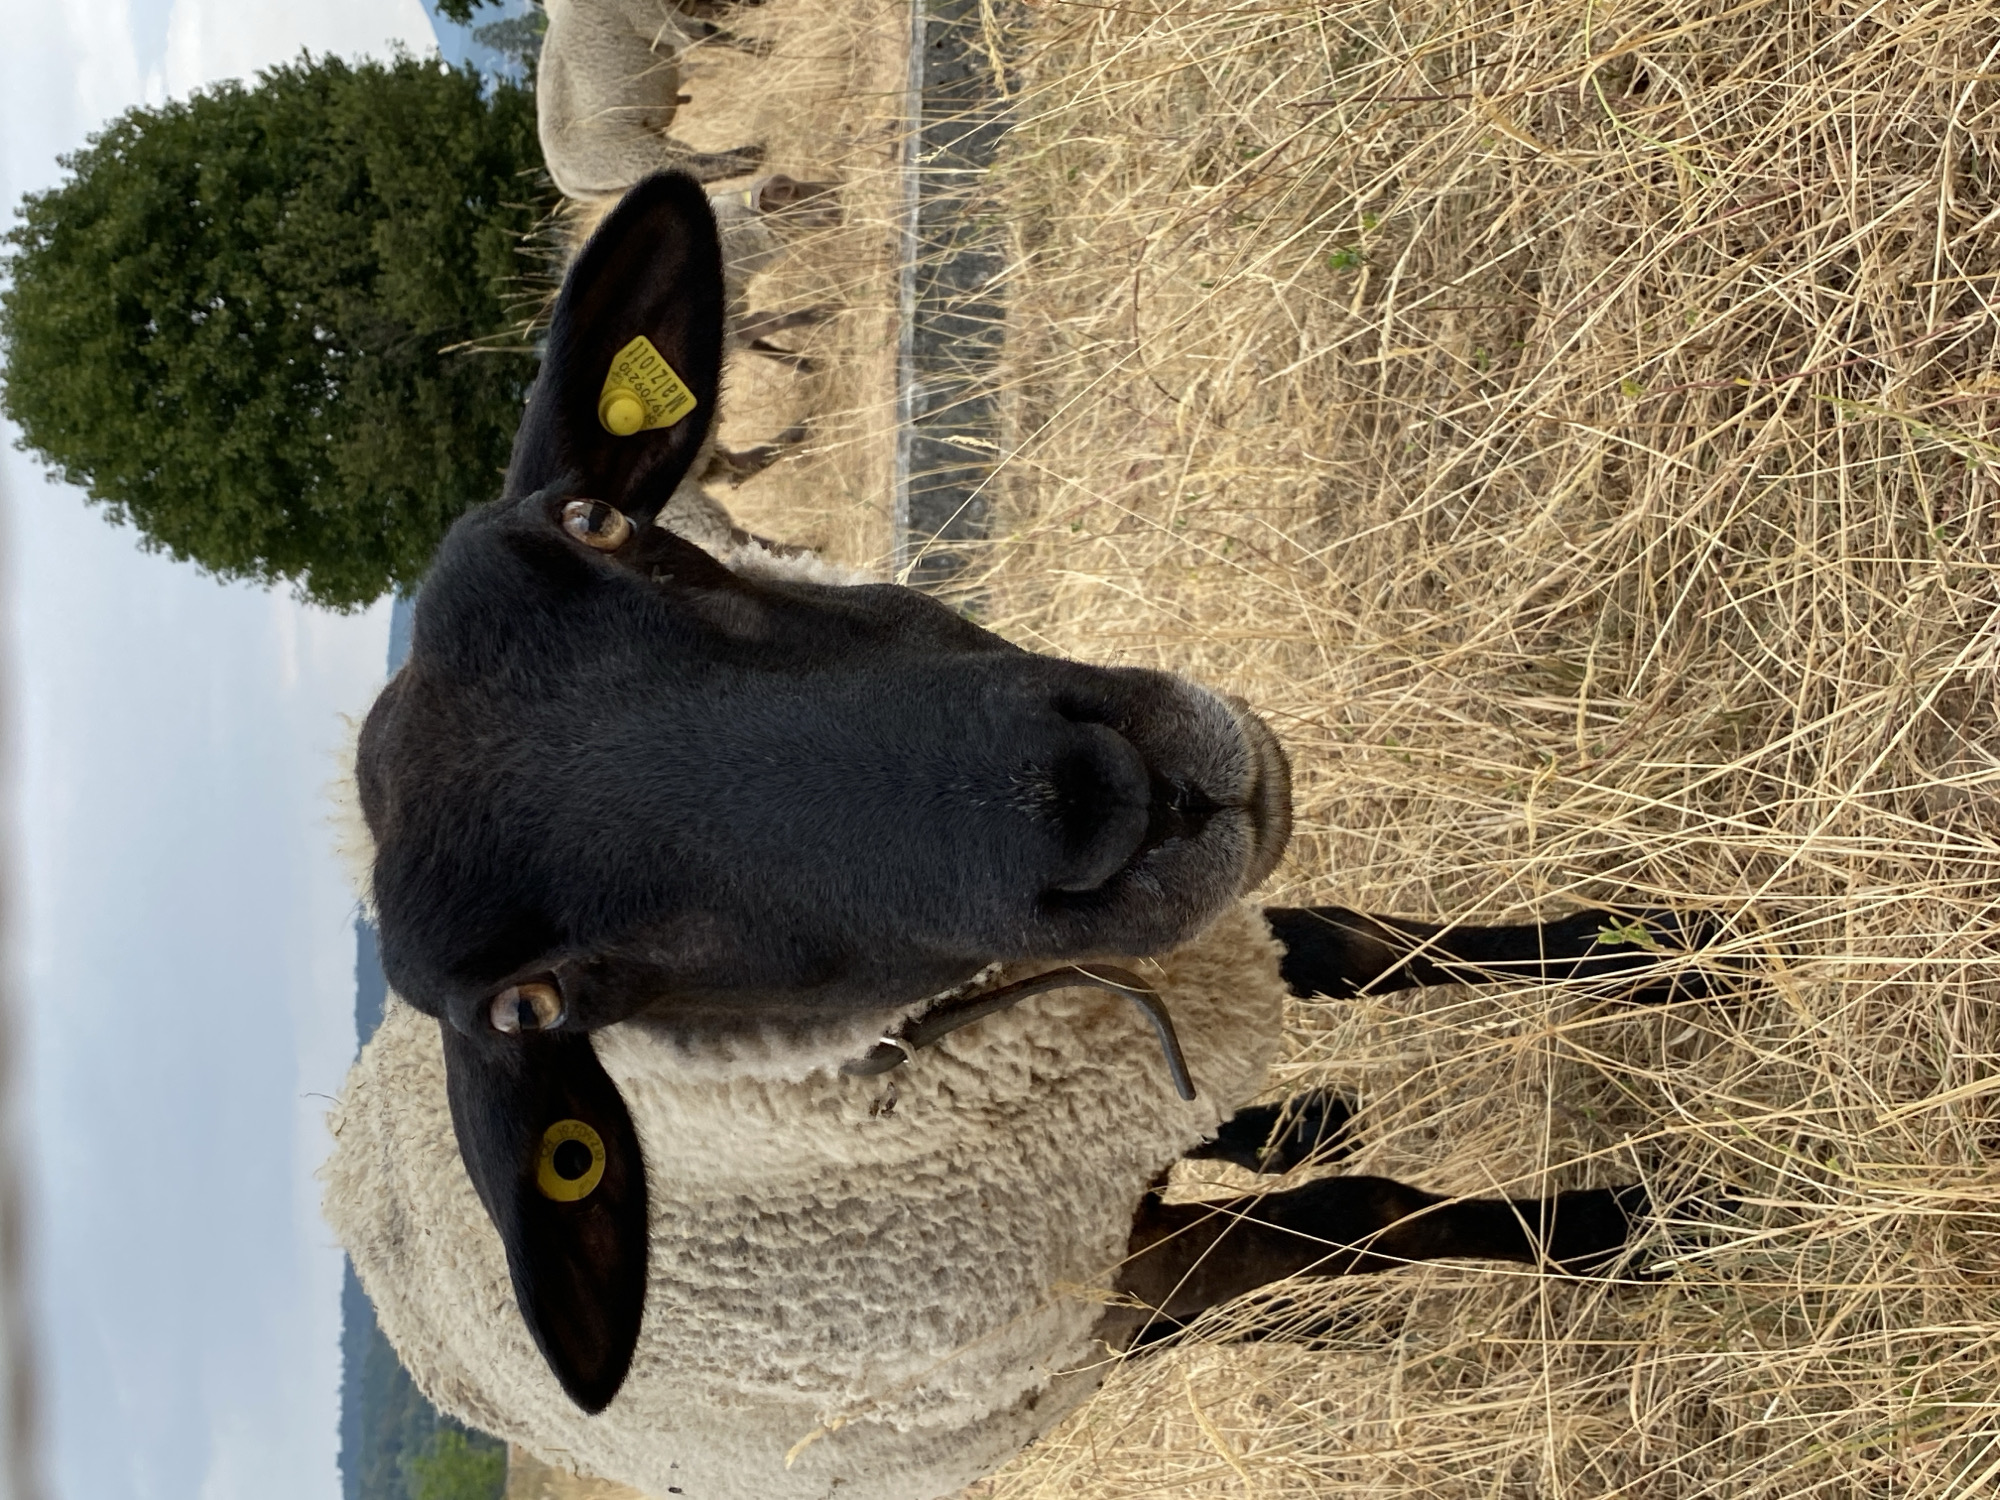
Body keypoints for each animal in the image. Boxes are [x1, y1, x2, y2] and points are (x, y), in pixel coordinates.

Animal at [323, 173, 1721, 1500]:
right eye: (544, 1007)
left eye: (601, 526)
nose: (1119, 798)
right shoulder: (1125, 1263)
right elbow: (1362, 1217)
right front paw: (1630, 1226)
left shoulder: (1198, 954)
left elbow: (1369, 949)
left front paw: (1673, 951)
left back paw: (1288, 1124)